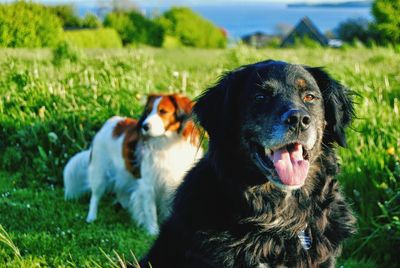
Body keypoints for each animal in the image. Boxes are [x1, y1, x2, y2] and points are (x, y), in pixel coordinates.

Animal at [65, 93, 203, 234]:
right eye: (147, 112)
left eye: (163, 111)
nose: (144, 126)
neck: (167, 143)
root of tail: (109, 124)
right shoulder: (148, 184)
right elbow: (150, 210)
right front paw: (153, 232)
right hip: (100, 173)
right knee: (95, 196)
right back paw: (91, 217)